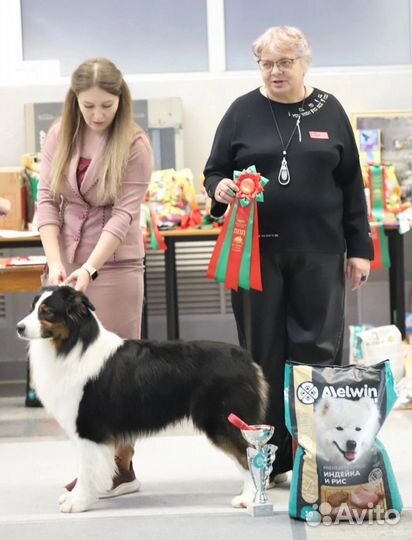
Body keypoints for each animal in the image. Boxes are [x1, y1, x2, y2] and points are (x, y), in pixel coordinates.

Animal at [16, 284, 268, 512]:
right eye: (32, 308)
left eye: (46, 312)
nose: (19, 327)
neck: (73, 345)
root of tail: (245, 358)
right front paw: (75, 497)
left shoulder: (89, 428)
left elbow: (86, 470)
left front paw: (77, 503)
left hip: (225, 421)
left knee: (248, 456)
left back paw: (248, 498)